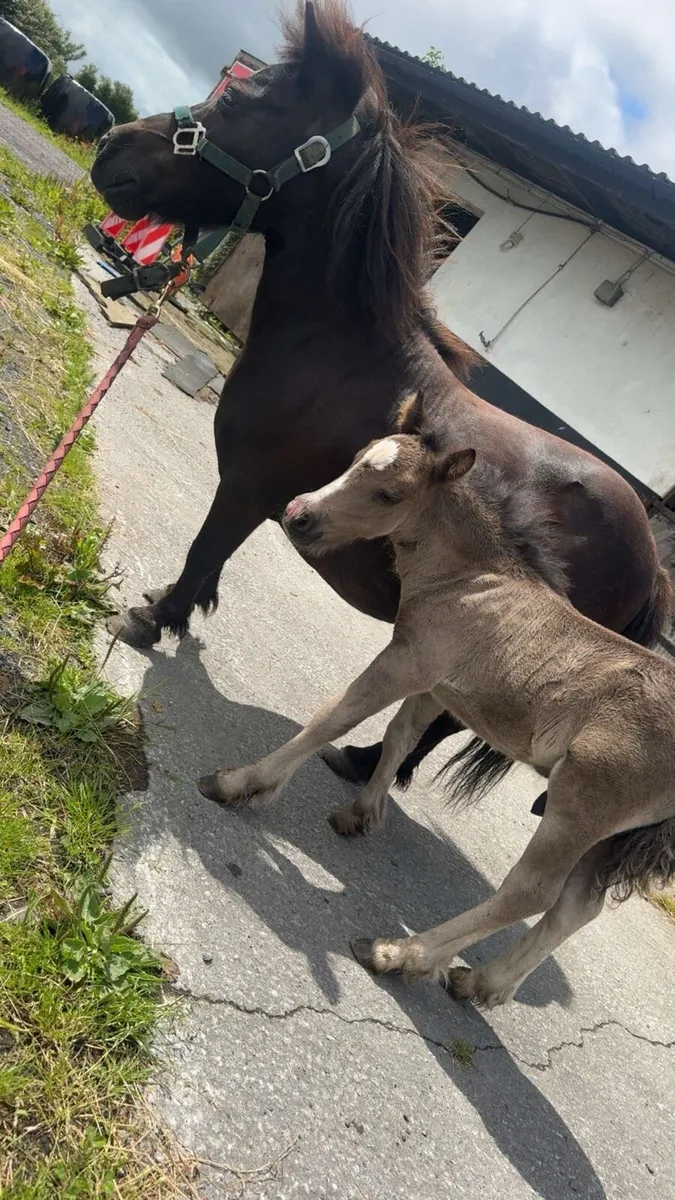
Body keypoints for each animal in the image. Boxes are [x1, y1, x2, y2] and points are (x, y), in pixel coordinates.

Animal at [90, 0, 669, 812]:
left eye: (236, 103)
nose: (112, 146)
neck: (341, 350)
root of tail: (652, 563)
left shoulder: (246, 487)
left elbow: (207, 546)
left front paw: (157, 617)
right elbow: (213, 560)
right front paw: (184, 612)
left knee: (440, 722)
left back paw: (364, 763)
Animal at [197, 393, 675, 1007]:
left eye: (390, 494)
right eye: (356, 459)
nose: (300, 515)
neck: (471, 580)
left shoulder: (409, 661)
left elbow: (335, 715)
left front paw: (242, 782)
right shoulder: (434, 682)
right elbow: (400, 736)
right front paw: (361, 813)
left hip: (583, 803)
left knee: (533, 893)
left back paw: (399, 954)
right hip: (610, 830)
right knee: (576, 907)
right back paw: (481, 982)